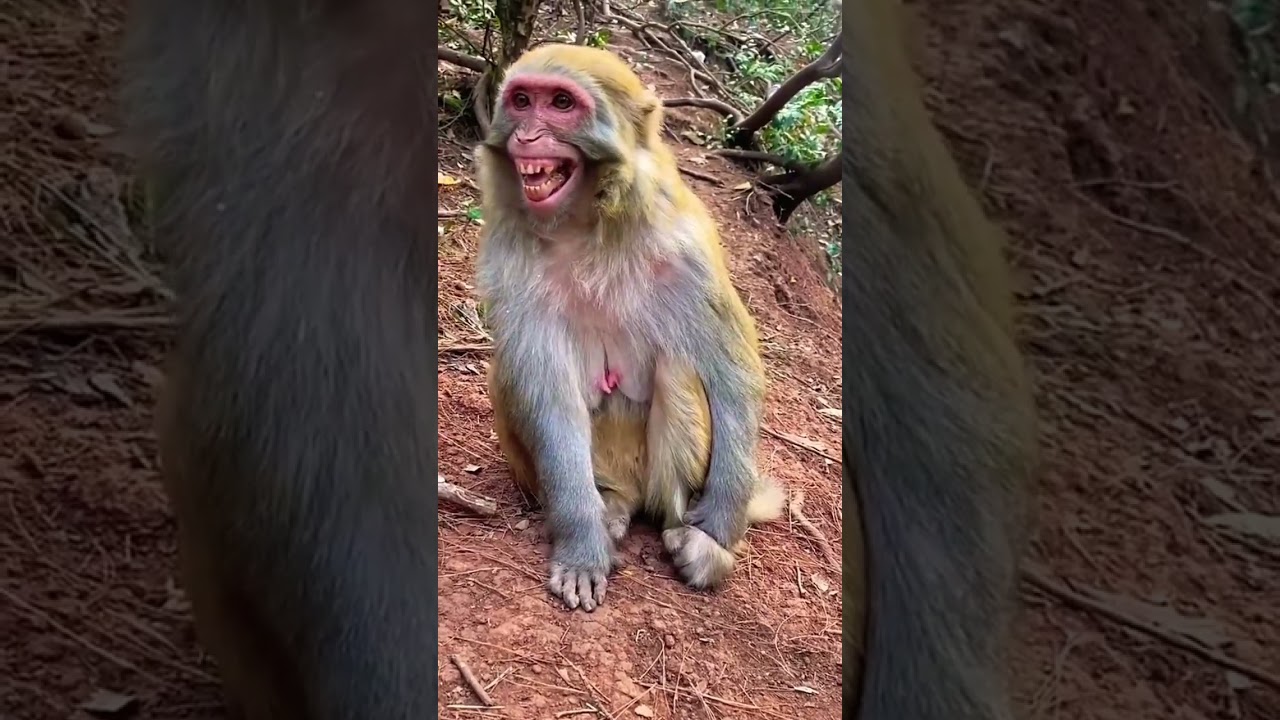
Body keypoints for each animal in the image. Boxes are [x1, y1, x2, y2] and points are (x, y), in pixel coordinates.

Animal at [473, 45, 786, 612]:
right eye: (522, 101)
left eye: (560, 104)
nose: (526, 136)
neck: (588, 224)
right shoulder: (508, 253)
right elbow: (547, 394)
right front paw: (582, 545)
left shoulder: (685, 241)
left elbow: (731, 372)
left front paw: (716, 535)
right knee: (508, 373)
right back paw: (610, 510)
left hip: (658, 475)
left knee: (680, 370)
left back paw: (678, 521)